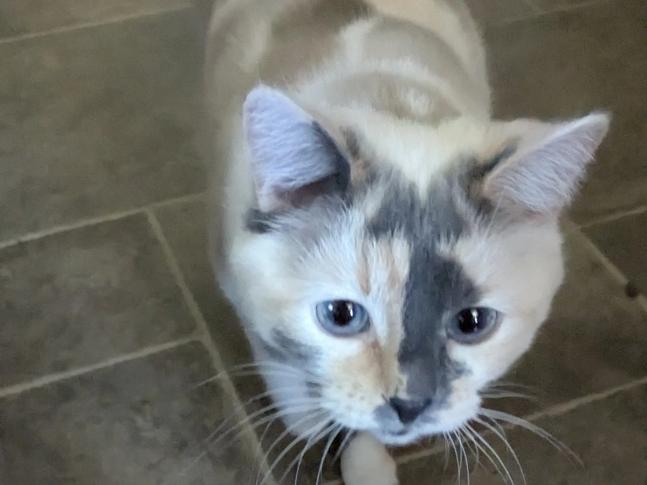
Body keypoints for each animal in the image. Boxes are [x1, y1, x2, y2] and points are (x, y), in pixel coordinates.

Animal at [204, 0, 609, 483]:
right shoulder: (236, 278)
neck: (391, 97)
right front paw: (313, 421)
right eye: (341, 315)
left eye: (472, 322)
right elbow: (286, 371)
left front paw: (366, 462)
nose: (409, 405)